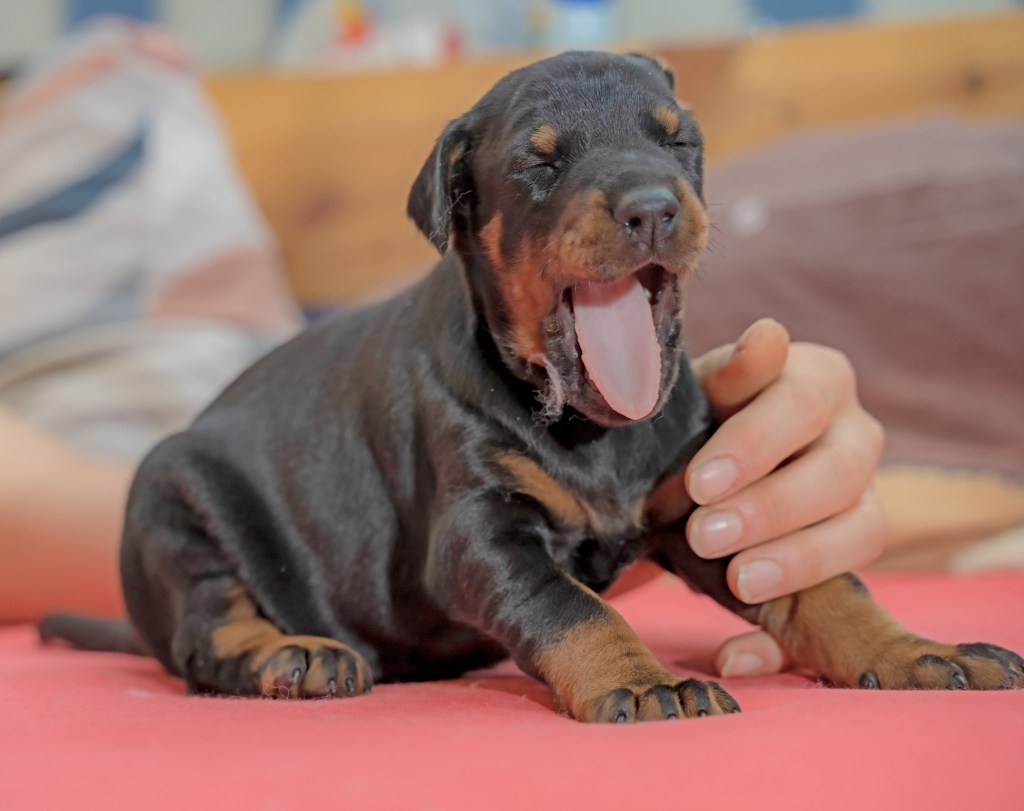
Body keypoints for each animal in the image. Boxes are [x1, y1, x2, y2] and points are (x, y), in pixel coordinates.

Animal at [36, 52, 1019, 720]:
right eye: (540, 163)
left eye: (677, 137)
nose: (653, 206)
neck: (594, 429)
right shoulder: (481, 530)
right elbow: (571, 607)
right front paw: (647, 681)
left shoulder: (710, 505)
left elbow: (828, 587)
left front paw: (921, 650)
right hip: (173, 507)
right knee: (207, 629)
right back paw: (294, 657)